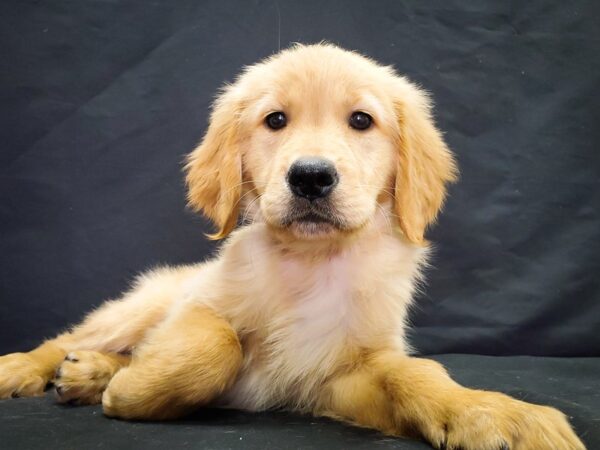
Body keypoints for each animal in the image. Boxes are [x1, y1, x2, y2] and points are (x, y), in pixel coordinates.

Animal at [0, 43, 584, 450]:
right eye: (275, 120)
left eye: (361, 120)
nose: (310, 177)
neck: (312, 262)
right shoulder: (195, 307)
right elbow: (215, 344)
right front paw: (131, 391)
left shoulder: (342, 374)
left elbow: (415, 374)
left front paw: (490, 412)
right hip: (143, 304)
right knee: (70, 337)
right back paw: (31, 369)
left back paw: (87, 374)